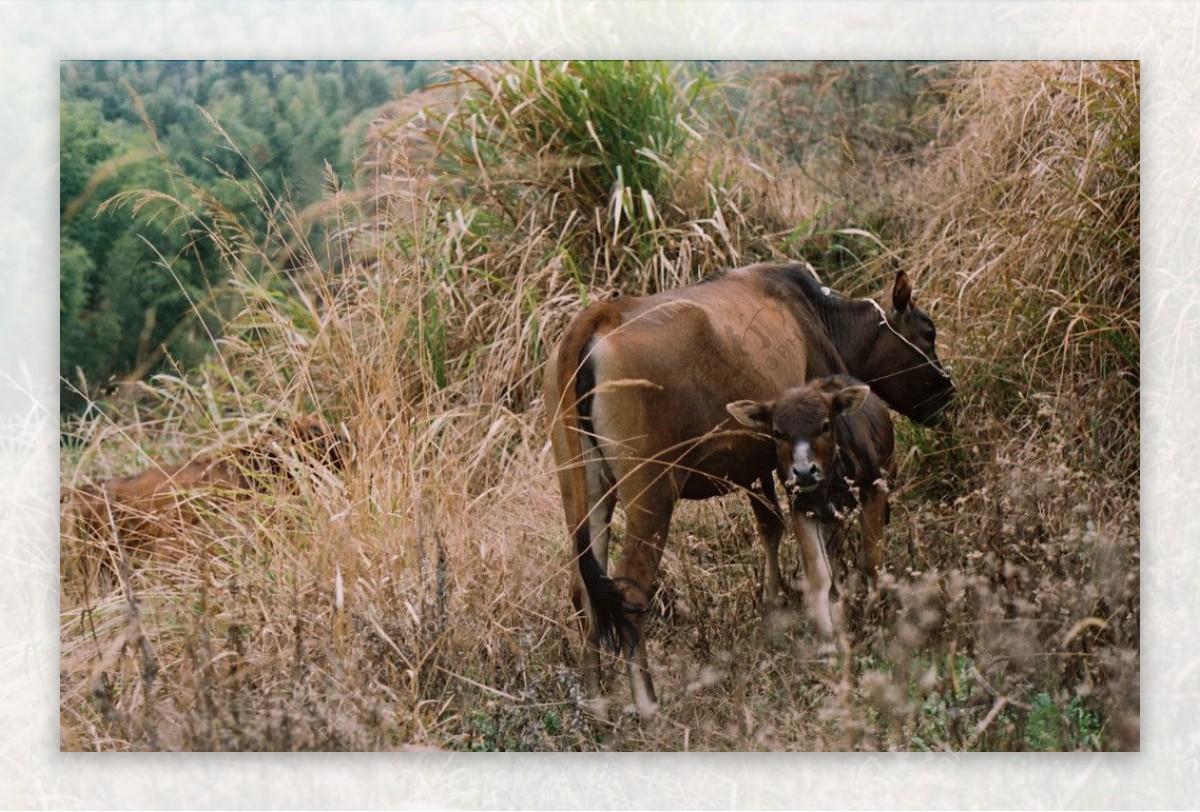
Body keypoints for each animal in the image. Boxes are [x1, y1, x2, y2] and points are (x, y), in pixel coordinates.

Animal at [547, 262, 955, 714]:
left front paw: (773, 612)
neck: (818, 317)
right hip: (651, 490)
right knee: (630, 592)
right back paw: (649, 705)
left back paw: (596, 704)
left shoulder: (756, 465)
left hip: (583, 489)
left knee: (585, 591)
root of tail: (598, 317)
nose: (948, 394)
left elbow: (771, 528)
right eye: (928, 332)